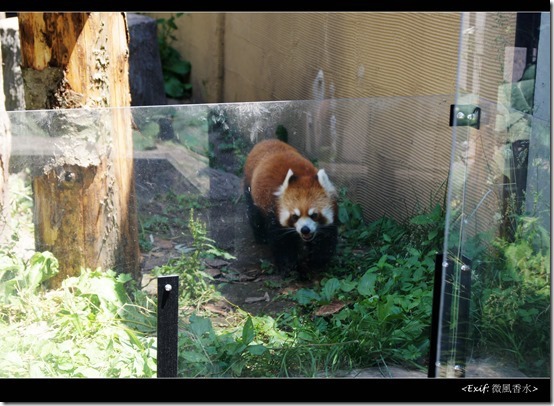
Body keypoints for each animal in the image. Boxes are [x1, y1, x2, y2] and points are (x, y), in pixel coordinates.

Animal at [243, 138, 336, 278]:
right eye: (295, 216)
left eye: (314, 215)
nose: (305, 229)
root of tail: (266, 141)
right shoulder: (274, 213)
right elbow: (281, 243)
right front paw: (287, 266)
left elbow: (325, 240)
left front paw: (317, 263)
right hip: (250, 189)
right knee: (254, 215)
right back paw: (260, 237)